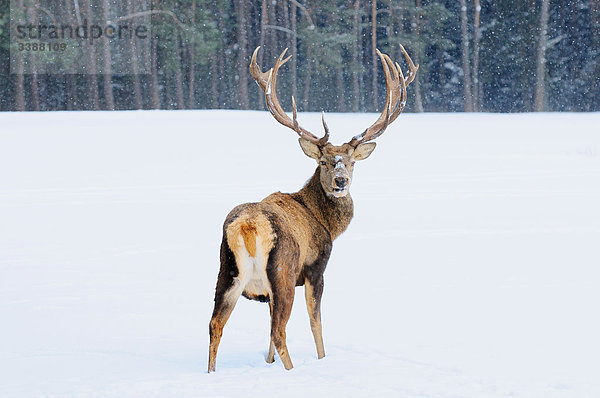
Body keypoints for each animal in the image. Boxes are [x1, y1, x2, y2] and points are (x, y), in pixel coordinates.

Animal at [206, 44, 418, 374]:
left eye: (351, 162)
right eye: (324, 162)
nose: (341, 181)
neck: (327, 223)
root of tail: (249, 225)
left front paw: (267, 363)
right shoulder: (316, 268)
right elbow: (316, 322)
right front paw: (322, 358)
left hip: (226, 270)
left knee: (216, 324)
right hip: (281, 271)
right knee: (279, 331)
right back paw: (292, 371)